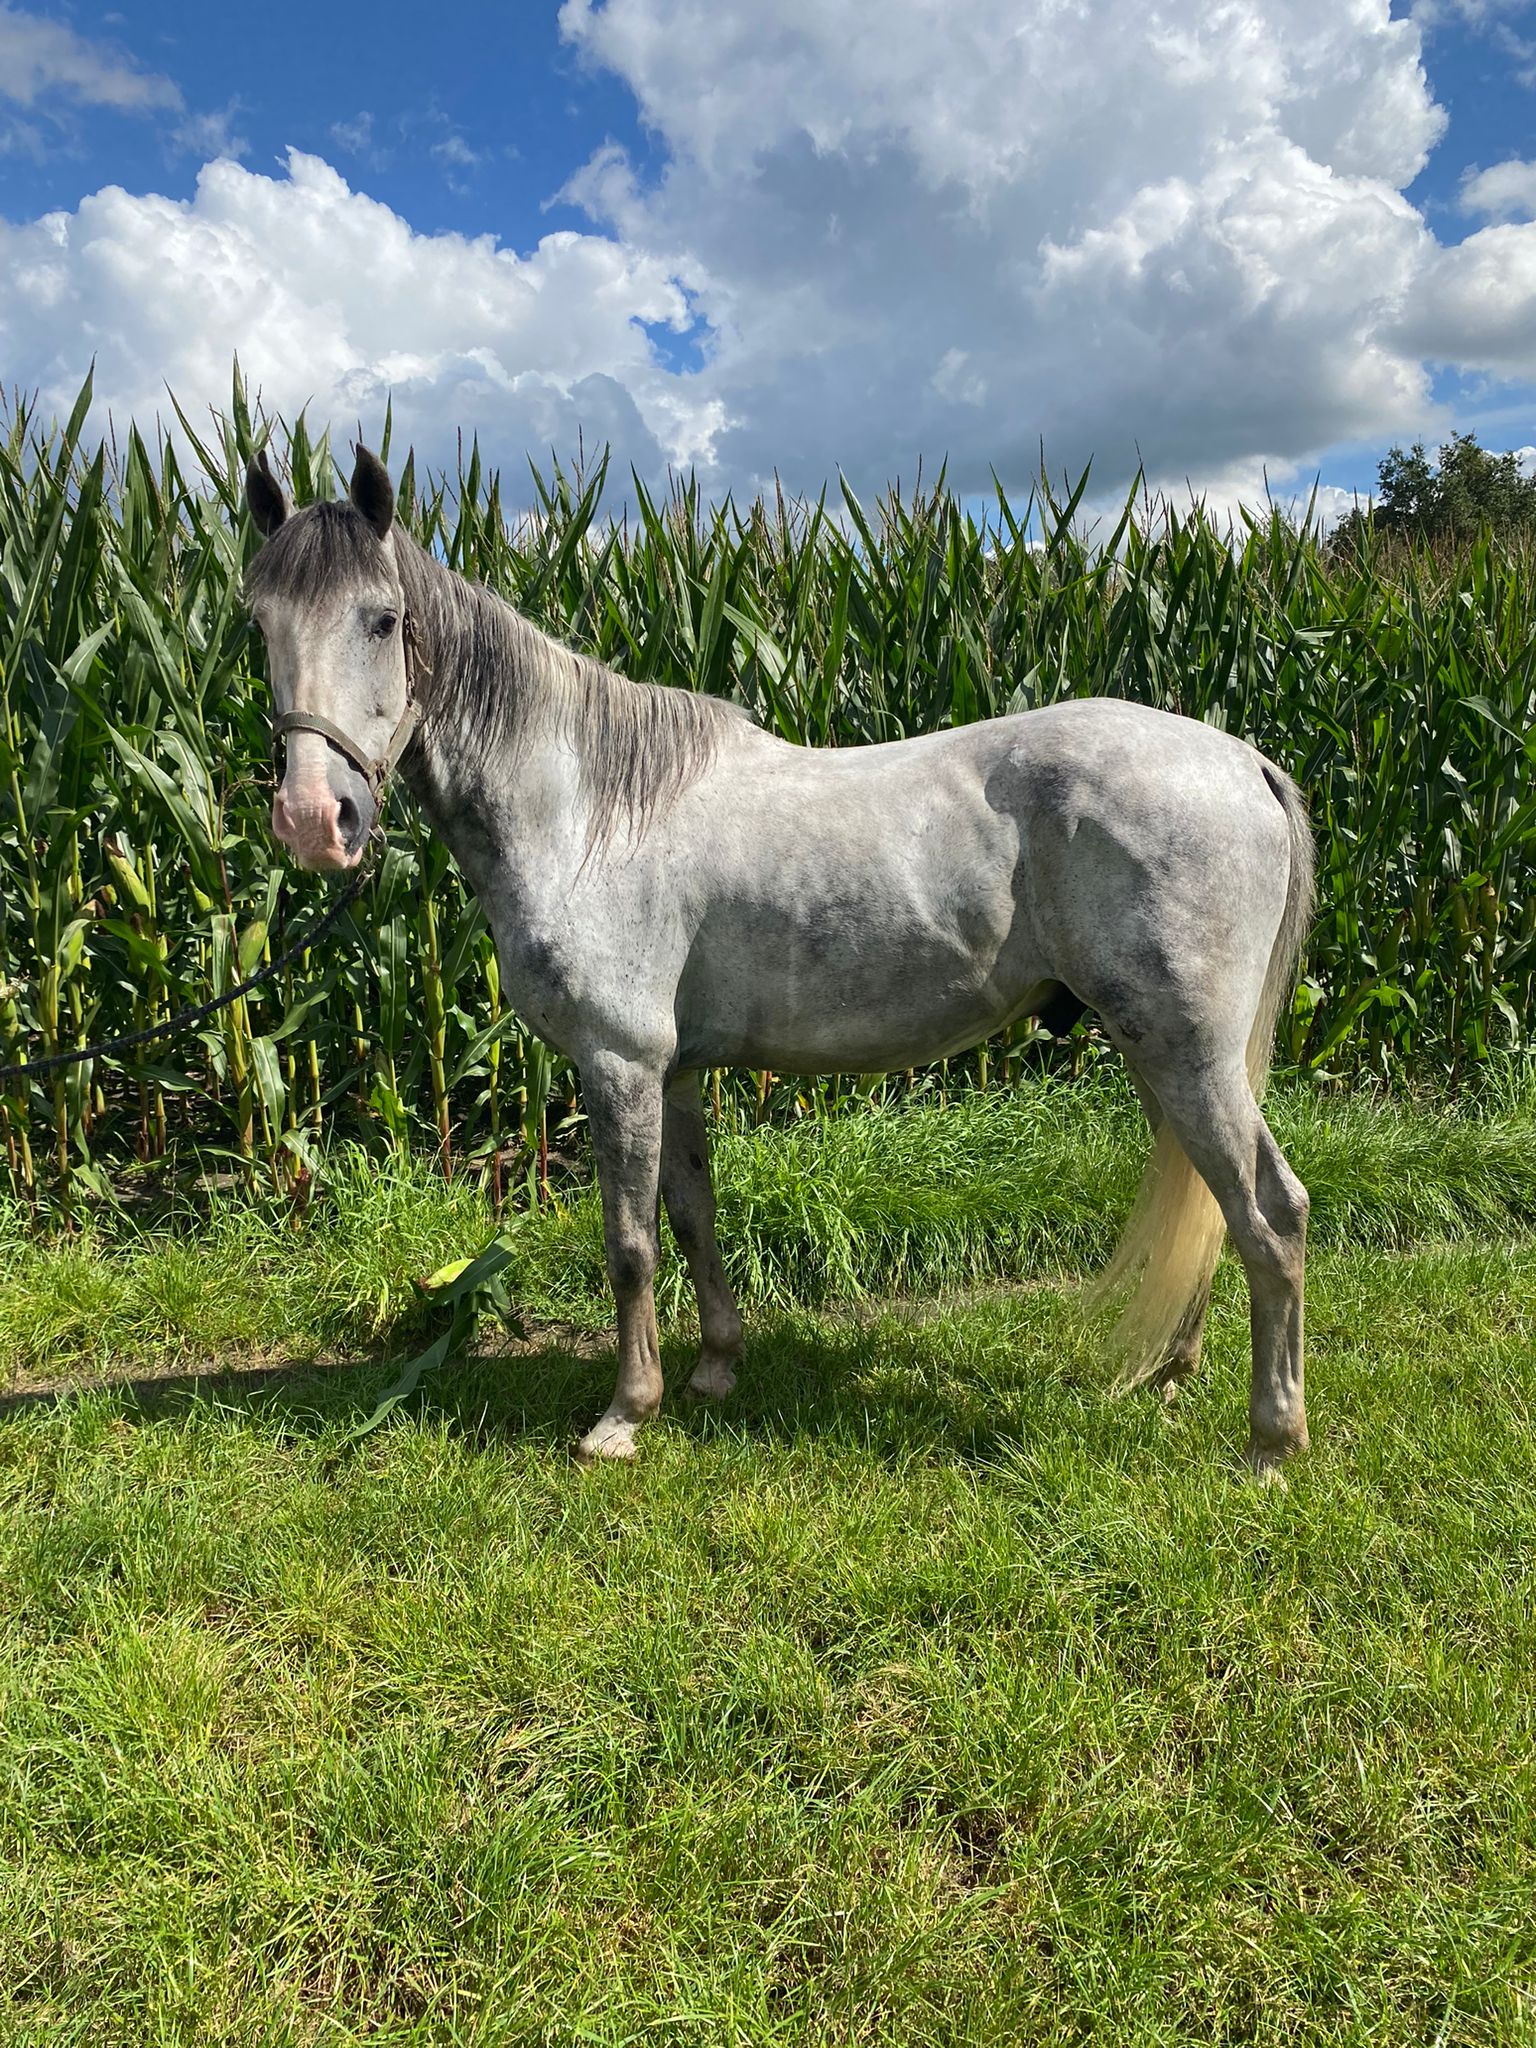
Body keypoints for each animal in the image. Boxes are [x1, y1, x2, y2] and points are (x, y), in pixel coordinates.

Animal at [242, 447, 1316, 1477]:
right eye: (258, 621)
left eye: (383, 620)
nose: (313, 821)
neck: (589, 810)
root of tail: (1242, 762)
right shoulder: (673, 1072)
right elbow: (692, 1219)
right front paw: (714, 1369)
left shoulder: (619, 1065)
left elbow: (629, 1244)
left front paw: (624, 1417)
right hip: (1157, 1052)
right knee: (1217, 1206)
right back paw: (1172, 1374)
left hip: (1189, 1054)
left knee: (1268, 1217)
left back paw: (1270, 1442)